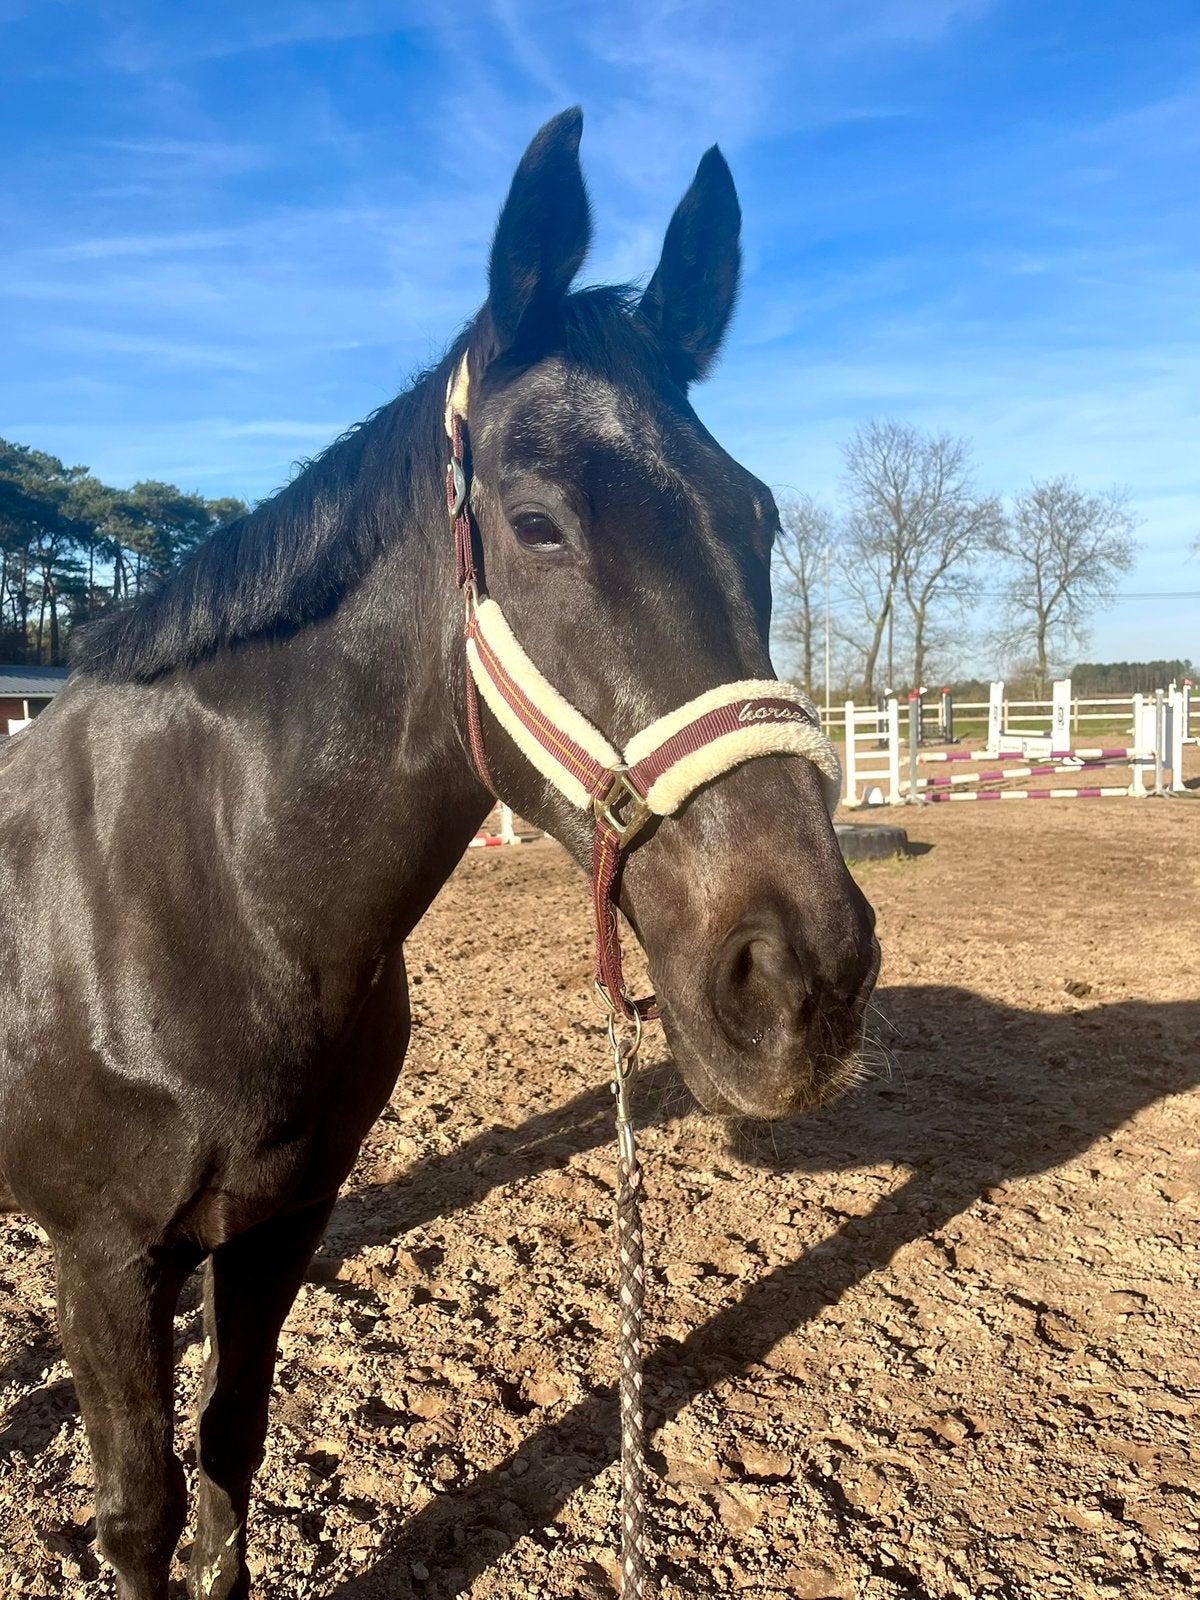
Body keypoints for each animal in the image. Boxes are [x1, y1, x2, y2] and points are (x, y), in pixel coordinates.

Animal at [0, 109, 879, 1599]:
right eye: (536, 524)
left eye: (756, 515)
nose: (802, 976)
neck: (207, 888)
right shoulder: (107, 1259)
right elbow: (140, 1516)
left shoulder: (281, 1221)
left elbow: (232, 1458)